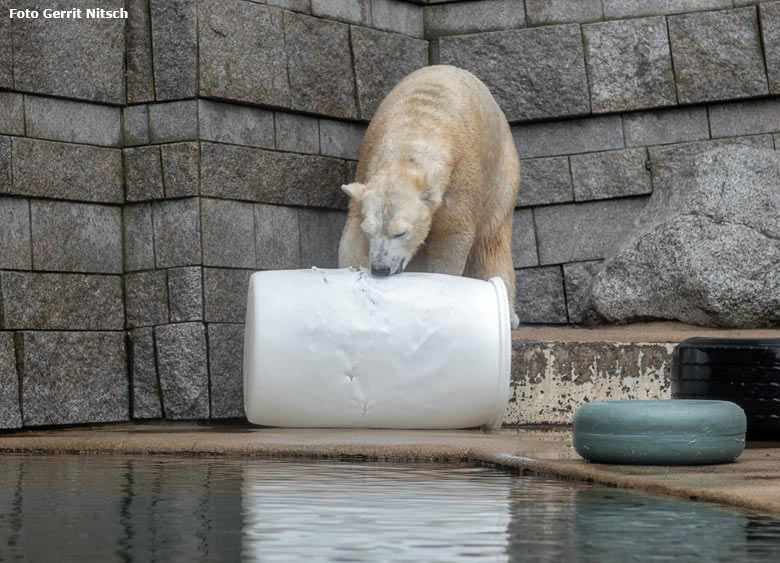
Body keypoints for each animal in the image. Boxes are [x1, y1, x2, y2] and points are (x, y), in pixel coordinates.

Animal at [338, 64, 520, 328]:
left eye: (400, 232)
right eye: (369, 231)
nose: (380, 268)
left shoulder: (461, 175)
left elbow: (453, 234)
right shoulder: (366, 163)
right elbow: (352, 237)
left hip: (502, 179)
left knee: (491, 242)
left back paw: (510, 315)